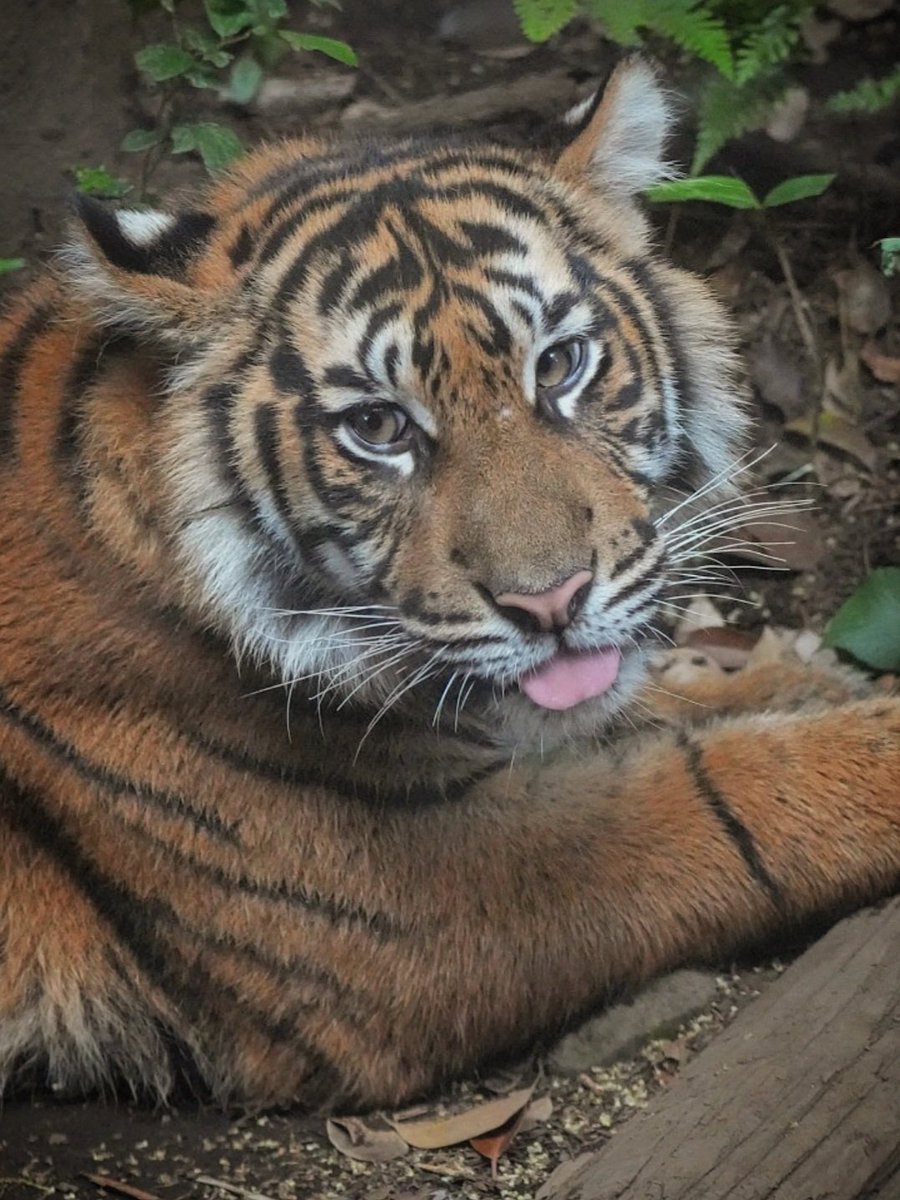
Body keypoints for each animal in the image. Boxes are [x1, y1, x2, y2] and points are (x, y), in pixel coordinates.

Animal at [0, 57, 898, 1113]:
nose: (550, 602)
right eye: (379, 427)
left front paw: (795, 677)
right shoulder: (422, 901)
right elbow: (738, 796)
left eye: (560, 364)